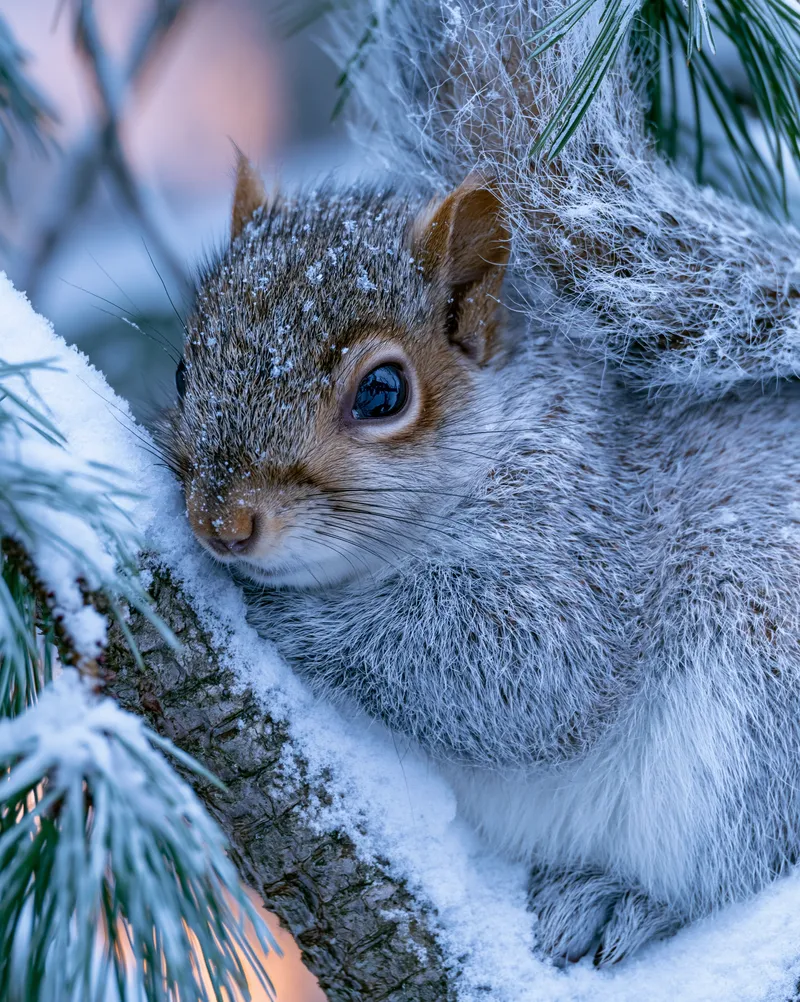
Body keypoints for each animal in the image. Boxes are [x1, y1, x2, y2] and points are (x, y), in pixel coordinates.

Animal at [161, 0, 800, 968]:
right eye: (183, 370)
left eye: (383, 393)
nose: (222, 524)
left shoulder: (582, 543)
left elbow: (515, 671)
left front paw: (281, 615)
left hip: (757, 687)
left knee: (743, 859)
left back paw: (624, 903)